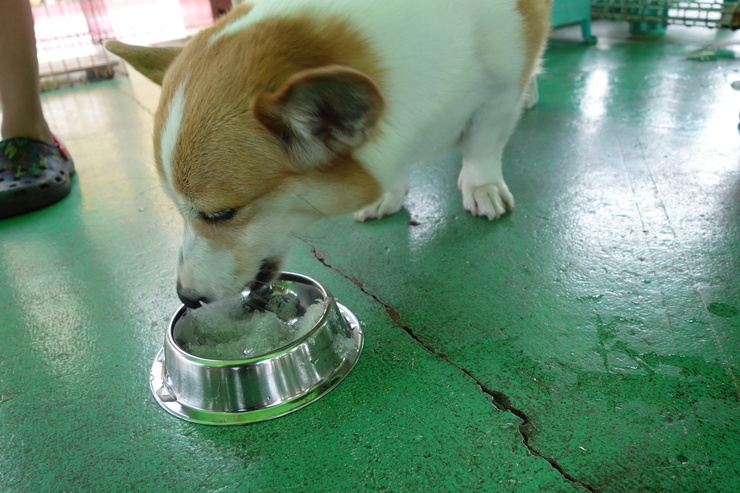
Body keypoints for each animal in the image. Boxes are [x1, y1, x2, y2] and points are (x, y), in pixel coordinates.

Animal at [105, 0, 548, 306]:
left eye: (221, 214)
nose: (186, 296)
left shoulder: (499, 93)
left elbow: (483, 144)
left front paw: (483, 186)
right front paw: (390, 194)